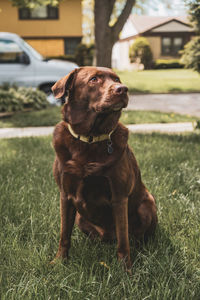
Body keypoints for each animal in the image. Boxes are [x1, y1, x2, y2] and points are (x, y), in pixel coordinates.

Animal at [50, 67, 157, 274]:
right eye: (94, 79)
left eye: (117, 79)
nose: (123, 89)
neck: (90, 139)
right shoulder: (65, 195)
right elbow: (64, 234)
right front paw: (59, 262)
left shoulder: (119, 197)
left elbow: (123, 242)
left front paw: (126, 272)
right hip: (80, 218)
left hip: (147, 205)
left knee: (134, 238)